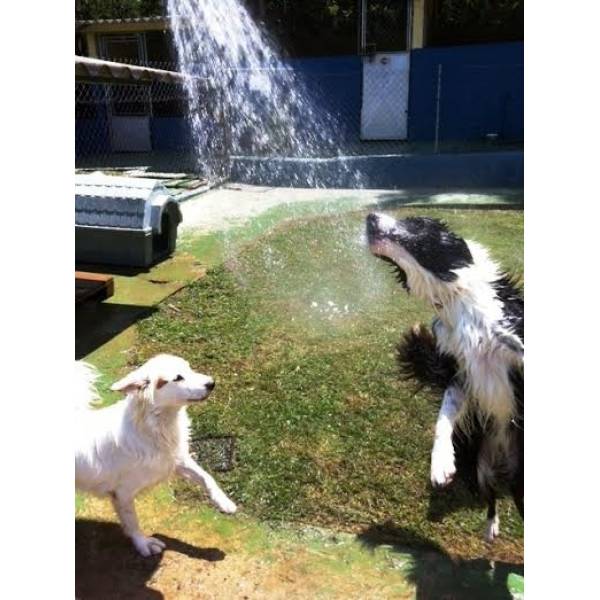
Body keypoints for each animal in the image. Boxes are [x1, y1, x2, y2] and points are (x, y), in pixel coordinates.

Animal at [74, 354, 236, 556]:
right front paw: (143, 544)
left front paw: (224, 502)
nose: (212, 383)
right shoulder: (123, 493)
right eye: (178, 378)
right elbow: (132, 522)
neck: (155, 426)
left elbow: (207, 478)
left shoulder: (175, 460)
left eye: (189, 368)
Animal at [366, 213, 520, 540]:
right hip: (479, 460)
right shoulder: (460, 373)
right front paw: (440, 463)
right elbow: (443, 418)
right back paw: (490, 528)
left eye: (415, 223)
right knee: (489, 494)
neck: (454, 297)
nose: (370, 216)